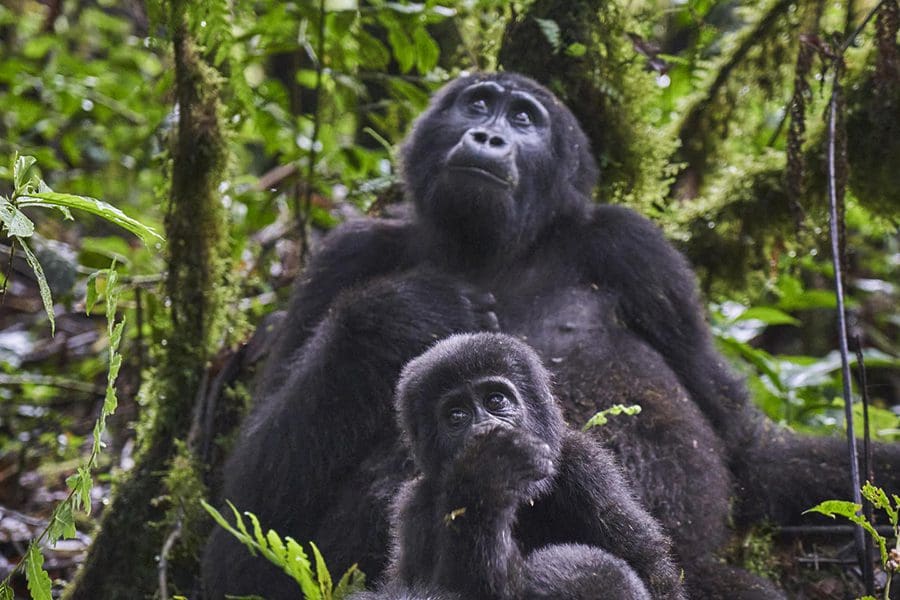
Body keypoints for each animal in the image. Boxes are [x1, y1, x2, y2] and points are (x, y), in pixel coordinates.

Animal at [366, 332, 684, 600]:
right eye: (456, 416)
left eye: (496, 400)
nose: (487, 429)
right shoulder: (416, 508)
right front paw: (488, 473)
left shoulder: (588, 469)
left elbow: (651, 572)